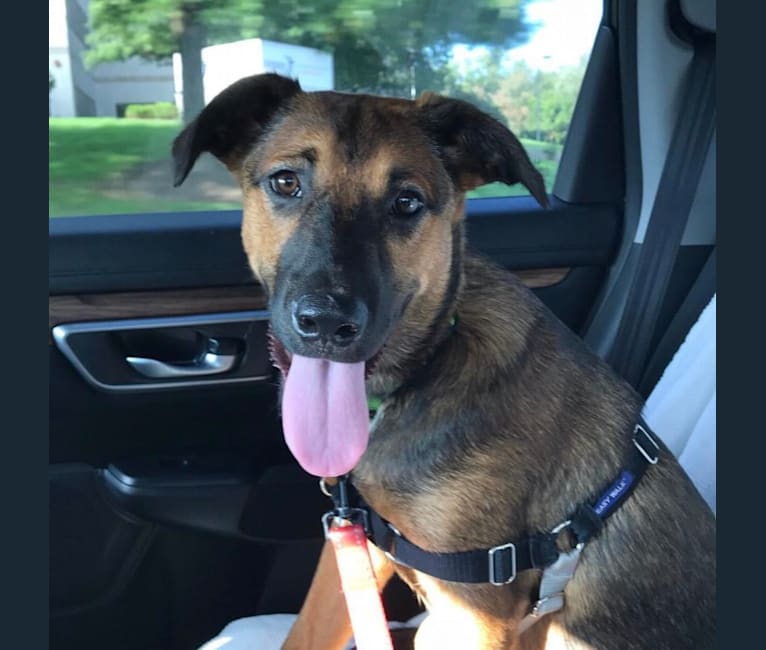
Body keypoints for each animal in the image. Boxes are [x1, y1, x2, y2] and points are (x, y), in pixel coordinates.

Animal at [171, 73, 716, 644]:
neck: (428, 365)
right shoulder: (358, 545)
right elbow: (305, 633)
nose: (326, 324)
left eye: (407, 202)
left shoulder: (475, 610)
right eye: (284, 183)